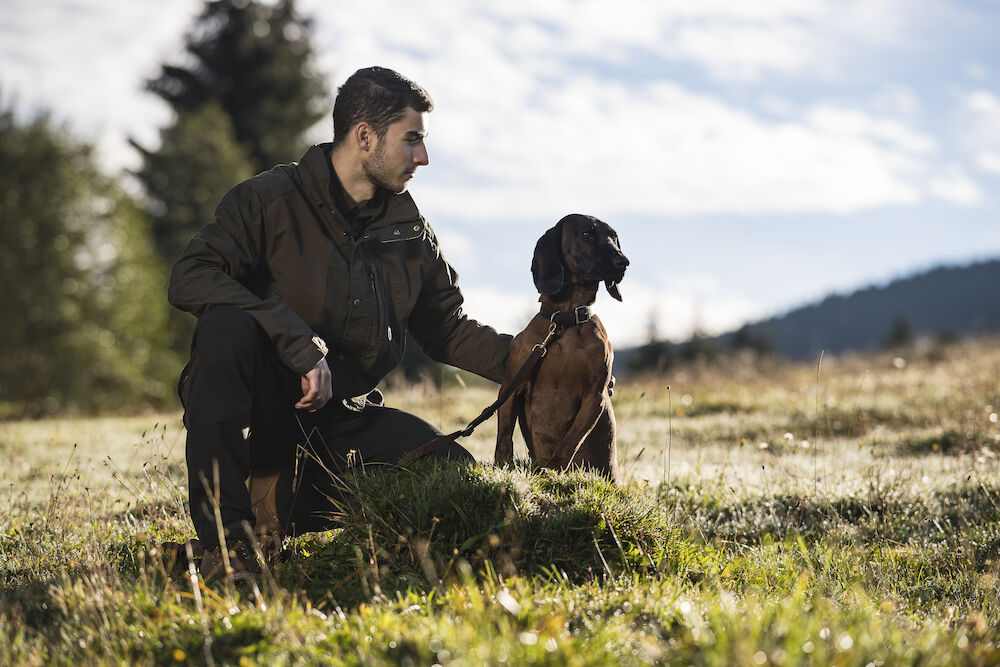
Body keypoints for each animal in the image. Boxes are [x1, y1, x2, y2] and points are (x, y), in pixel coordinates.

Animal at [496, 214, 628, 480]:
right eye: (587, 234)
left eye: (614, 237)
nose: (624, 262)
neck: (566, 320)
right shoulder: (511, 385)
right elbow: (504, 433)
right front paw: (502, 465)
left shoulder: (594, 395)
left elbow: (571, 441)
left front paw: (554, 469)